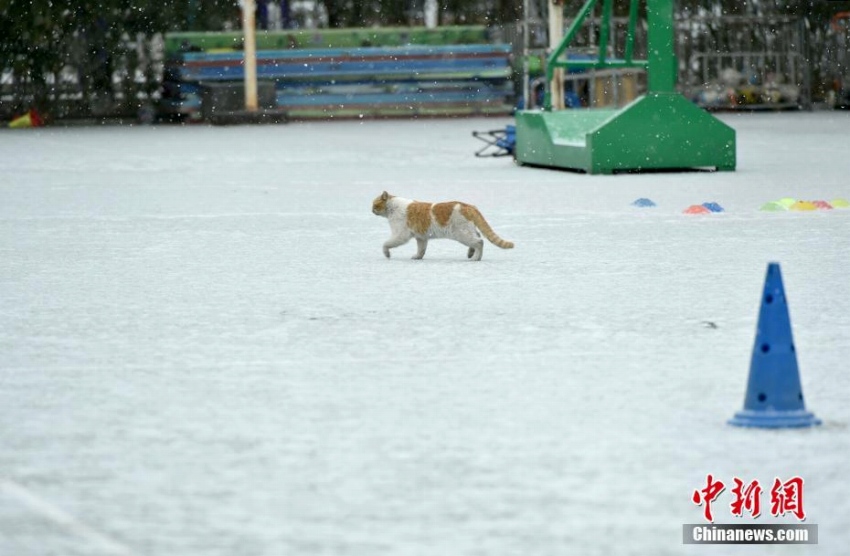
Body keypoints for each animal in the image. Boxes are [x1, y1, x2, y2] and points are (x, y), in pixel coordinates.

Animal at [370, 190, 512, 262]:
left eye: (374, 205)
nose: (371, 210)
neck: (392, 207)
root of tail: (469, 206)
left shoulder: (400, 234)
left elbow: (386, 244)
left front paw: (387, 254)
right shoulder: (421, 237)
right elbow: (421, 250)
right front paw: (418, 257)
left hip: (461, 234)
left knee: (479, 242)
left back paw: (476, 257)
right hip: (468, 230)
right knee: (477, 238)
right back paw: (471, 253)